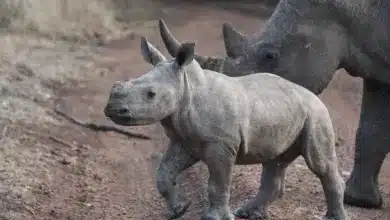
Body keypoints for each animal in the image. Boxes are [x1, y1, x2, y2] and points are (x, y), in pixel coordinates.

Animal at [103, 36, 348, 220]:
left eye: (151, 94)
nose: (112, 109)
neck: (187, 86)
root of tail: (313, 96)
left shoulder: (220, 144)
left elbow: (217, 182)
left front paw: (214, 218)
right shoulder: (185, 140)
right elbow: (164, 173)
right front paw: (179, 210)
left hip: (316, 114)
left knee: (320, 164)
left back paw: (333, 218)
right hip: (285, 111)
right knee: (274, 161)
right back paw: (247, 213)